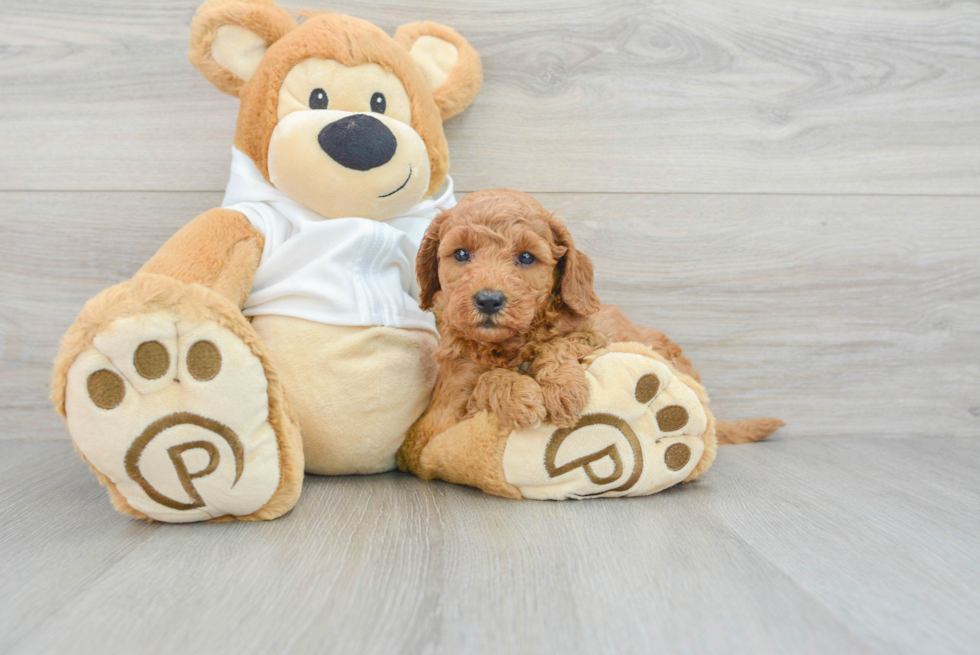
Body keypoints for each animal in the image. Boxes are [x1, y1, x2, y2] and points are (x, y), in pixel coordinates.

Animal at [412, 188, 780, 446]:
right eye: (461, 254)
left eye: (526, 258)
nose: (489, 300)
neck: (509, 346)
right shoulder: (442, 419)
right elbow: (485, 381)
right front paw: (520, 396)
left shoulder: (595, 334)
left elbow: (559, 344)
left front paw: (563, 390)